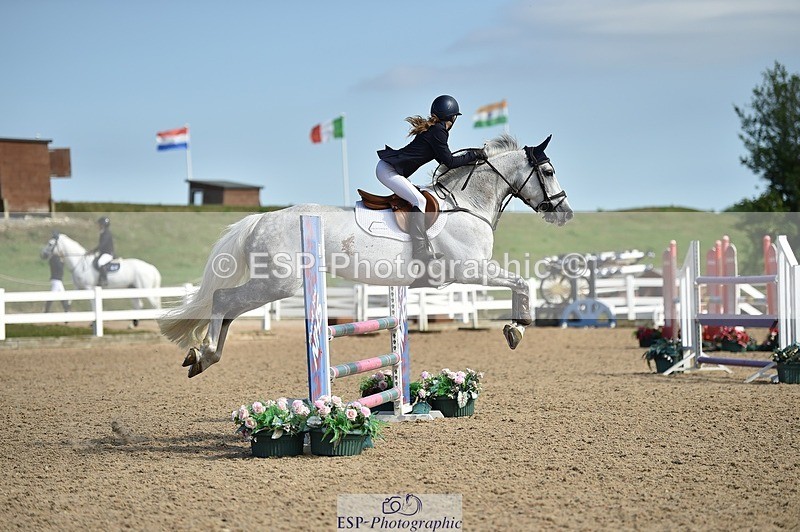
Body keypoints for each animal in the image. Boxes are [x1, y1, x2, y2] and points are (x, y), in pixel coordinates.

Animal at [159, 133, 573, 377]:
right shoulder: (471, 270)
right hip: (278, 282)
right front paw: (516, 329)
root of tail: (260, 219)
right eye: (549, 170)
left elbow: (519, 283)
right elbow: (520, 283)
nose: (564, 212)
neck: (467, 204)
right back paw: (205, 353)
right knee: (223, 299)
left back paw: (202, 357)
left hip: (274, 283)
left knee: (228, 306)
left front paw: (516, 328)